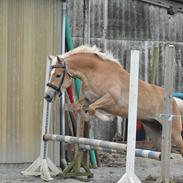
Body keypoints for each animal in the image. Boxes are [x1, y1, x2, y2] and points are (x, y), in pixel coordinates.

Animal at [44, 45, 183, 155]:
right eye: (50, 74)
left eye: (58, 75)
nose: (47, 96)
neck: (95, 72)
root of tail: (173, 99)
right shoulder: (87, 99)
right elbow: (78, 107)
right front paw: (85, 117)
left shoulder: (110, 99)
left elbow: (93, 108)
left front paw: (106, 118)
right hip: (154, 132)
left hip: (174, 133)